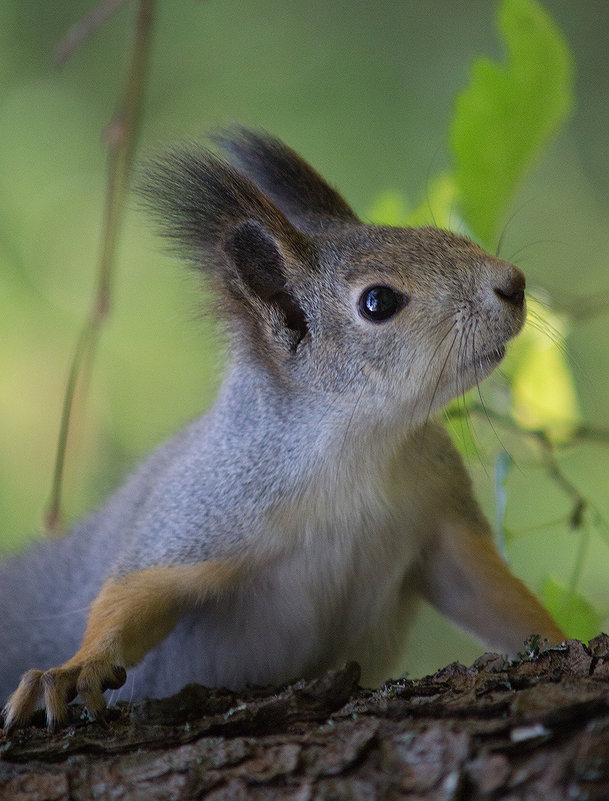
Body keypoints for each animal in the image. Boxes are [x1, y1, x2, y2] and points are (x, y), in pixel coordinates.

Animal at [0, 126, 564, 732]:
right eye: (378, 301)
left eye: (442, 233)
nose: (513, 283)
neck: (362, 447)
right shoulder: (210, 504)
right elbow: (134, 594)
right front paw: (72, 670)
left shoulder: (439, 513)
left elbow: (489, 594)